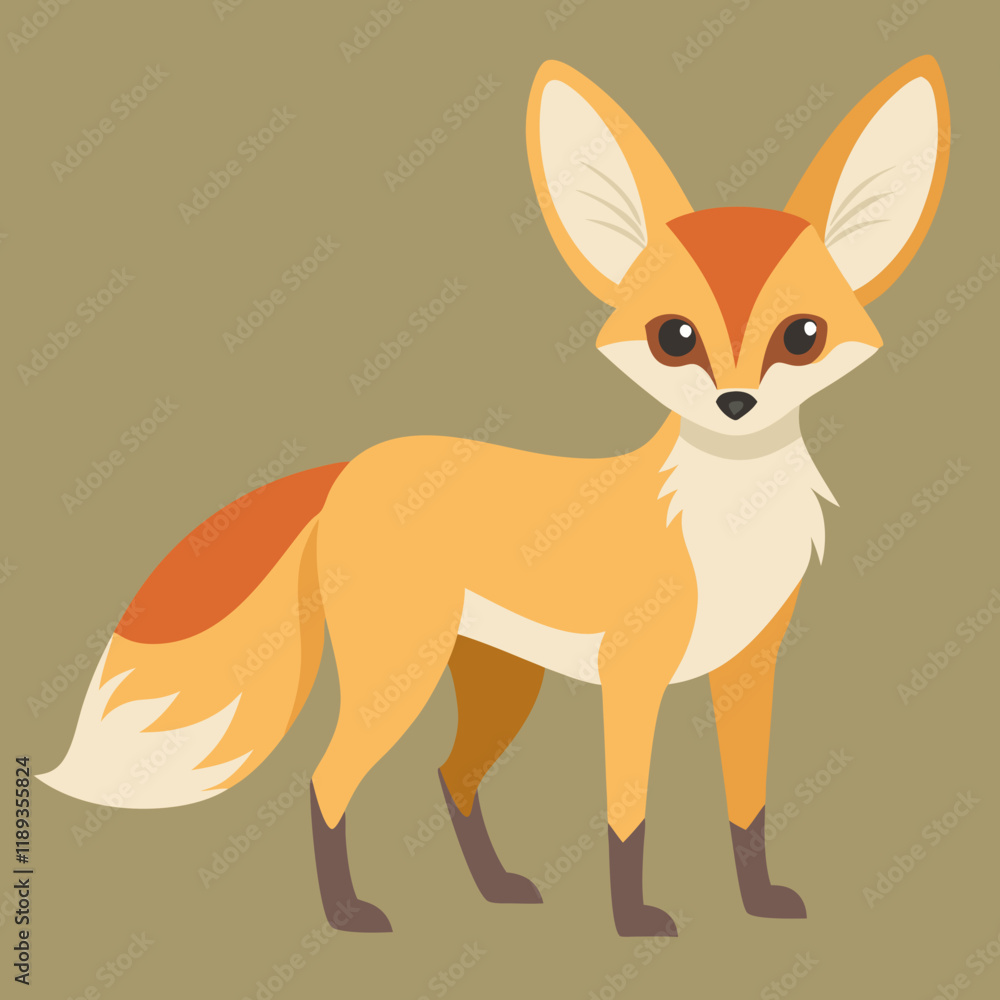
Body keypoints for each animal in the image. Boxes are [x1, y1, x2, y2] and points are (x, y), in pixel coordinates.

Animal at [40, 56, 950, 937]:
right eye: (675, 338)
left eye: (802, 337)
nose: (736, 405)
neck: (729, 525)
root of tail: (357, 463)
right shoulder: (631, 676)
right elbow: (628, 817)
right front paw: (633, 920)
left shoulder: (751, 670)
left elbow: (748, 809)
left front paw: (759, 905)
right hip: (402, 675)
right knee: (330, 780)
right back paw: (349, 915)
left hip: (502, 683)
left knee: (452, 775)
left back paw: (495, 890)